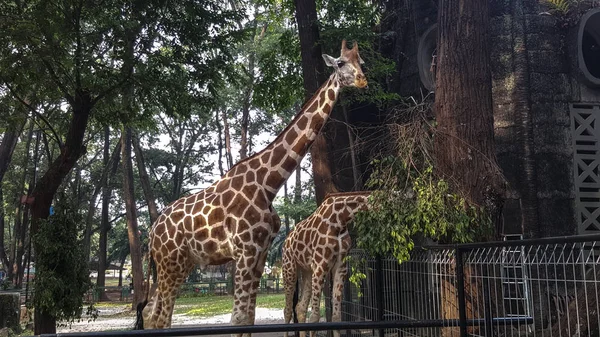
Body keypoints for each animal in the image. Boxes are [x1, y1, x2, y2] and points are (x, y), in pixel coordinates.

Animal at [282, 192, 370, 336]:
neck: (340, 220)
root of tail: (286, 241)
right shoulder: (320, 265)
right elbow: (314, 318)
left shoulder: (340, 267)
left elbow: (336, 317)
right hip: (289, 268)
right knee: (288, 310)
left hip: (307, 271)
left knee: (300, 307)